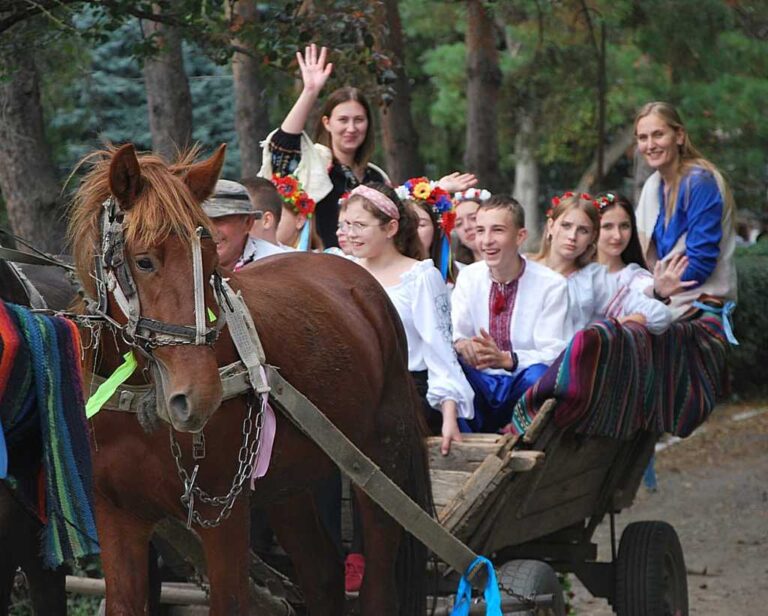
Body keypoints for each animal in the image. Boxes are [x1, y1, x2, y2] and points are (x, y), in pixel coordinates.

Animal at [70, 143, 432, 612]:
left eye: (211, 262)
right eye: (144, 261)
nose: (199, 396)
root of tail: (361, 282)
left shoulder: (223, 514)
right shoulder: (118, 515)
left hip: (380, 463)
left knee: (379, 584)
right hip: (289, 483)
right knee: (322, 574)